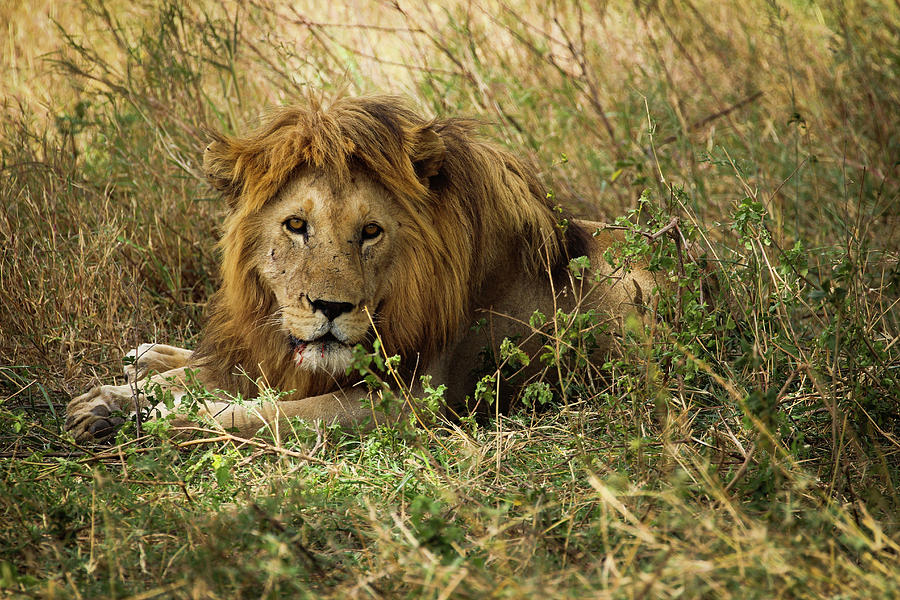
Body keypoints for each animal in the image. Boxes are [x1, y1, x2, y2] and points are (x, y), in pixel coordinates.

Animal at [65, 94, 660, 440]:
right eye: (296, 225)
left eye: (370, 232)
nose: (330, 308)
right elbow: (225, 379)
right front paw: (107, 402)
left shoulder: (410, 403)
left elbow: (260, 411)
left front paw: (160, 414)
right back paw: (146, 358)